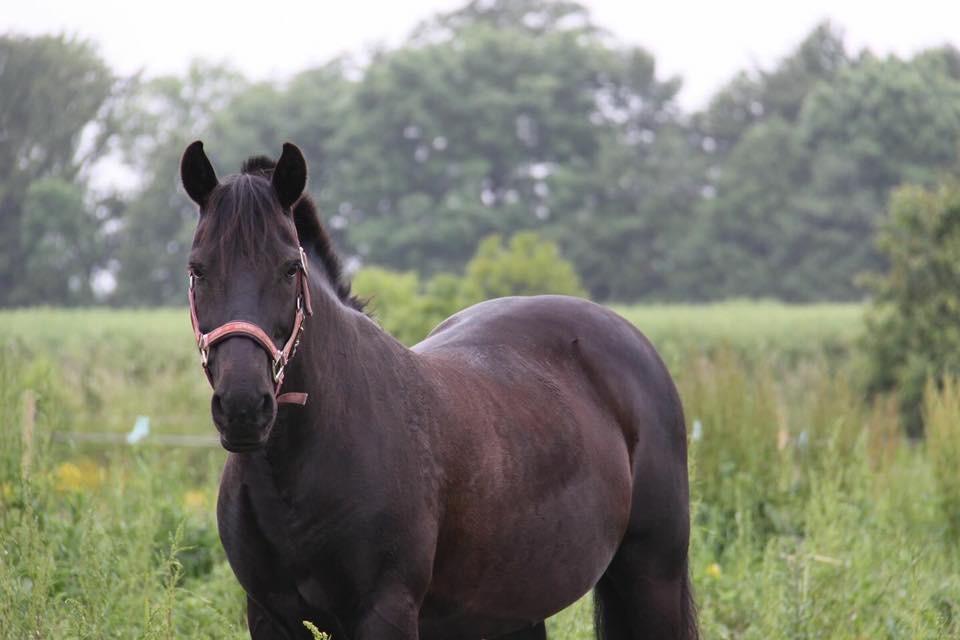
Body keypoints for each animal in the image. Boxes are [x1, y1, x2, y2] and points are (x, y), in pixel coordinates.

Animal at [180, 140, 697, 640]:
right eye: (197, 269)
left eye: (290, 268)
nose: (244, 406)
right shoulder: (269, 615)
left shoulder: (385, 612)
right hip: (512, 609)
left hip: (652, 576)